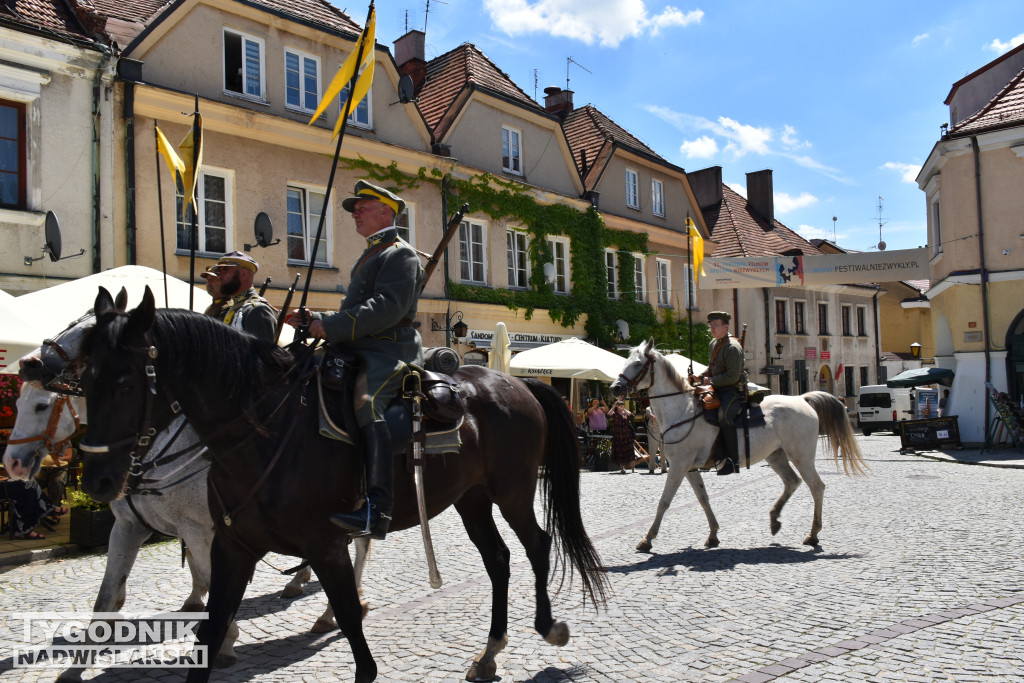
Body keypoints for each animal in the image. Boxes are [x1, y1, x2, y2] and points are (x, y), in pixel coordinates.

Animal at [79, 288, 606, 683]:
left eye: (126, 381)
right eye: (84, 379)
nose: (97, 479)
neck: (265, 434)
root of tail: (514, 381)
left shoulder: (325, 545)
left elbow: (353, 627)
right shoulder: (232, 548)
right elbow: (210, 624)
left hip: (512, 492)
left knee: (538, 544)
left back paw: (548, 627)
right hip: (470, 499)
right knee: (498, 559)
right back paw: (491, 651)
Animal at [610, 339, 868, 552]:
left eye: (638, 363)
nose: (615, 388)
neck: (681, 411)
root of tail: (802, 399)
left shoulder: (678, 467)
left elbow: (664, 502)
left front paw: (647, 539)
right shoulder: (689, 468)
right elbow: (703, 499)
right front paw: (713, 534)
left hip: (801, 456)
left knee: (816, 487)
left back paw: (813, 534)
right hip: (776, 456)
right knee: (792, 482)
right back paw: (775, 519)